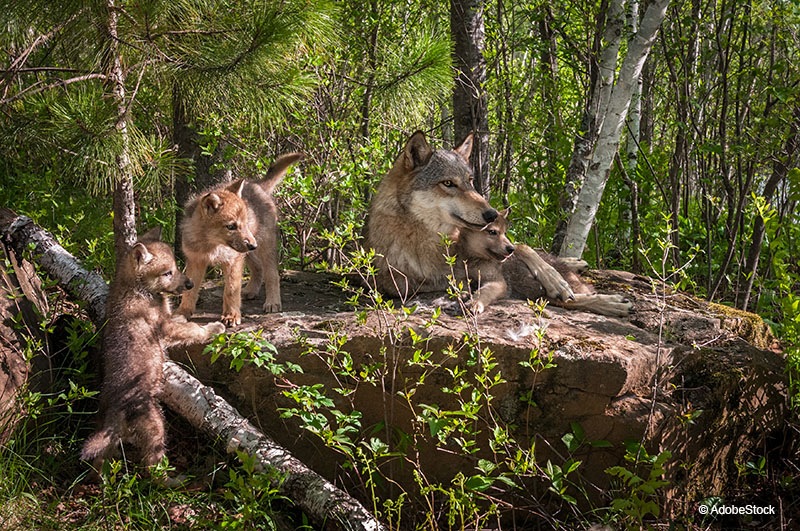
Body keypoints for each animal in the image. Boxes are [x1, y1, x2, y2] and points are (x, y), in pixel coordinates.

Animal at [81, 229, 223, 478]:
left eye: (176, 267)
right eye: (168, 272)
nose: (190, 283)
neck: (136, 289)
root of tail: (115, 414)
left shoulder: (167, 321)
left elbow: (181, 320)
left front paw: (186, 314)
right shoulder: (164, 328)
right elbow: (193, 330)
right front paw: (214, 329)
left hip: (108, 439)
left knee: (100, 461)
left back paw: (101, 479)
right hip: (156, 424)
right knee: (152, 470)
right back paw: (176, 480)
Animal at [177, 154, 304, 326]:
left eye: (244, 223)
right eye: (231, 226)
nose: (252, 245)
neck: (210, 244)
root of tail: (258, 185)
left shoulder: (232, 261)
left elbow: (231, 290)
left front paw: (231, 316)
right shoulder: (196, 261)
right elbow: (190, 291)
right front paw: (183, 312)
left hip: (264, 246)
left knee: (272, 274)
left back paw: (272, 302)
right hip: (247, 252)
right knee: (258, 268)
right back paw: (250, 291)